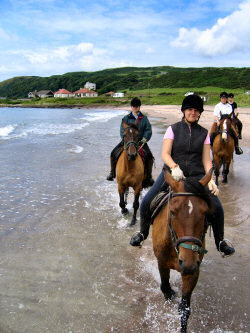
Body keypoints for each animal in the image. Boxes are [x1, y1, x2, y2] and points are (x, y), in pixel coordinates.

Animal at [152, 169, 213, 332]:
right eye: (173, 212)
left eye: (205, 213)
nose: (187, 263)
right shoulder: (162, 263)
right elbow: (165, 288)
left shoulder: (193, 272)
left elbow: (184, 309)